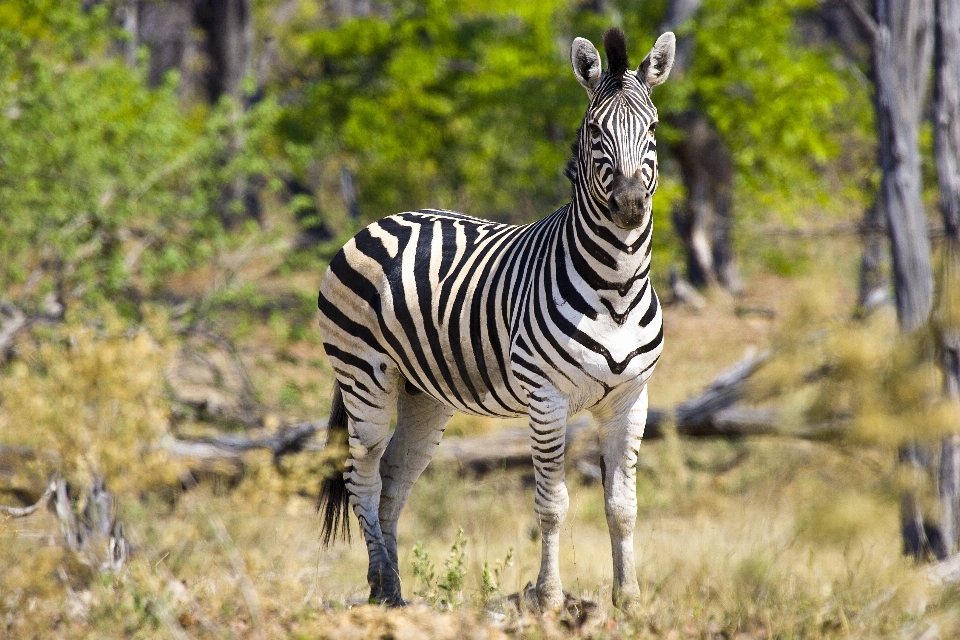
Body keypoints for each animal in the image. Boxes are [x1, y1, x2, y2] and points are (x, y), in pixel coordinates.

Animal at [316, 28, 676, 608]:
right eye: (593, 130)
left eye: (653, 128)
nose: (628, 206)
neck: (617, 288)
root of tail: (383, 219)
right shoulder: (546, 398)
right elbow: (552, 505)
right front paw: (549, 598)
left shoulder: (631, 399)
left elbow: (623, 507)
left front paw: (629, 601)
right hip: (362, 374)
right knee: (362, 474)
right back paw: (384, 587)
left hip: (424, 393)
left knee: (394, 476)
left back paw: (392, 589)